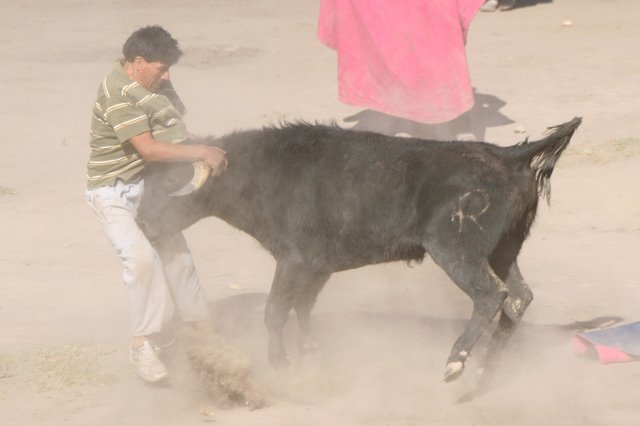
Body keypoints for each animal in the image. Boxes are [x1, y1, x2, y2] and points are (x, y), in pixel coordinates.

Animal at [138, 117, 582, 385]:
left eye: (169, 186)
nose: (142, 222)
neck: (264, 172)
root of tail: (509, 154)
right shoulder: (317, 267)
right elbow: (303, 307)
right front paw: (310, 352)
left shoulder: (292, 259)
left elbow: (275, 310)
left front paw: (280, 362)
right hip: (504, 250)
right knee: (519, 297)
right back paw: (488, 367)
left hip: (456, 250)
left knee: (491, 294)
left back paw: (455, 361)